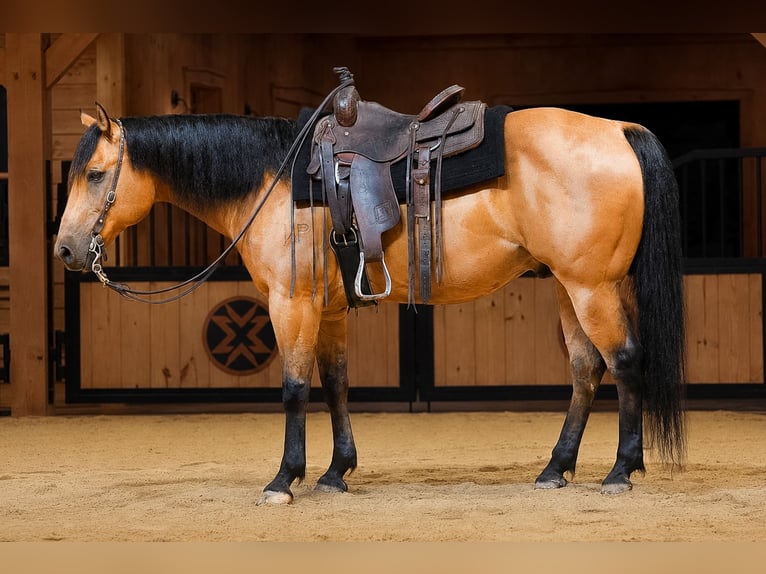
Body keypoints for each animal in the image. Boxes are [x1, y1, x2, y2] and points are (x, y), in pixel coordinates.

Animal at [54, 91, 687, 504]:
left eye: (94, 173)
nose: (64, 249)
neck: (274, 181)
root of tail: (618, 129)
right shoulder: (328, 311)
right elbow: (335, 385)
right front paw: (337, 472)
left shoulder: (291, 305)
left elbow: (293, 388)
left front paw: (284, 480)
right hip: (568, 286)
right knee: (585, 370)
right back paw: (556, 468)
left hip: (591, 287)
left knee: (624, 361)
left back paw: (620, 471)